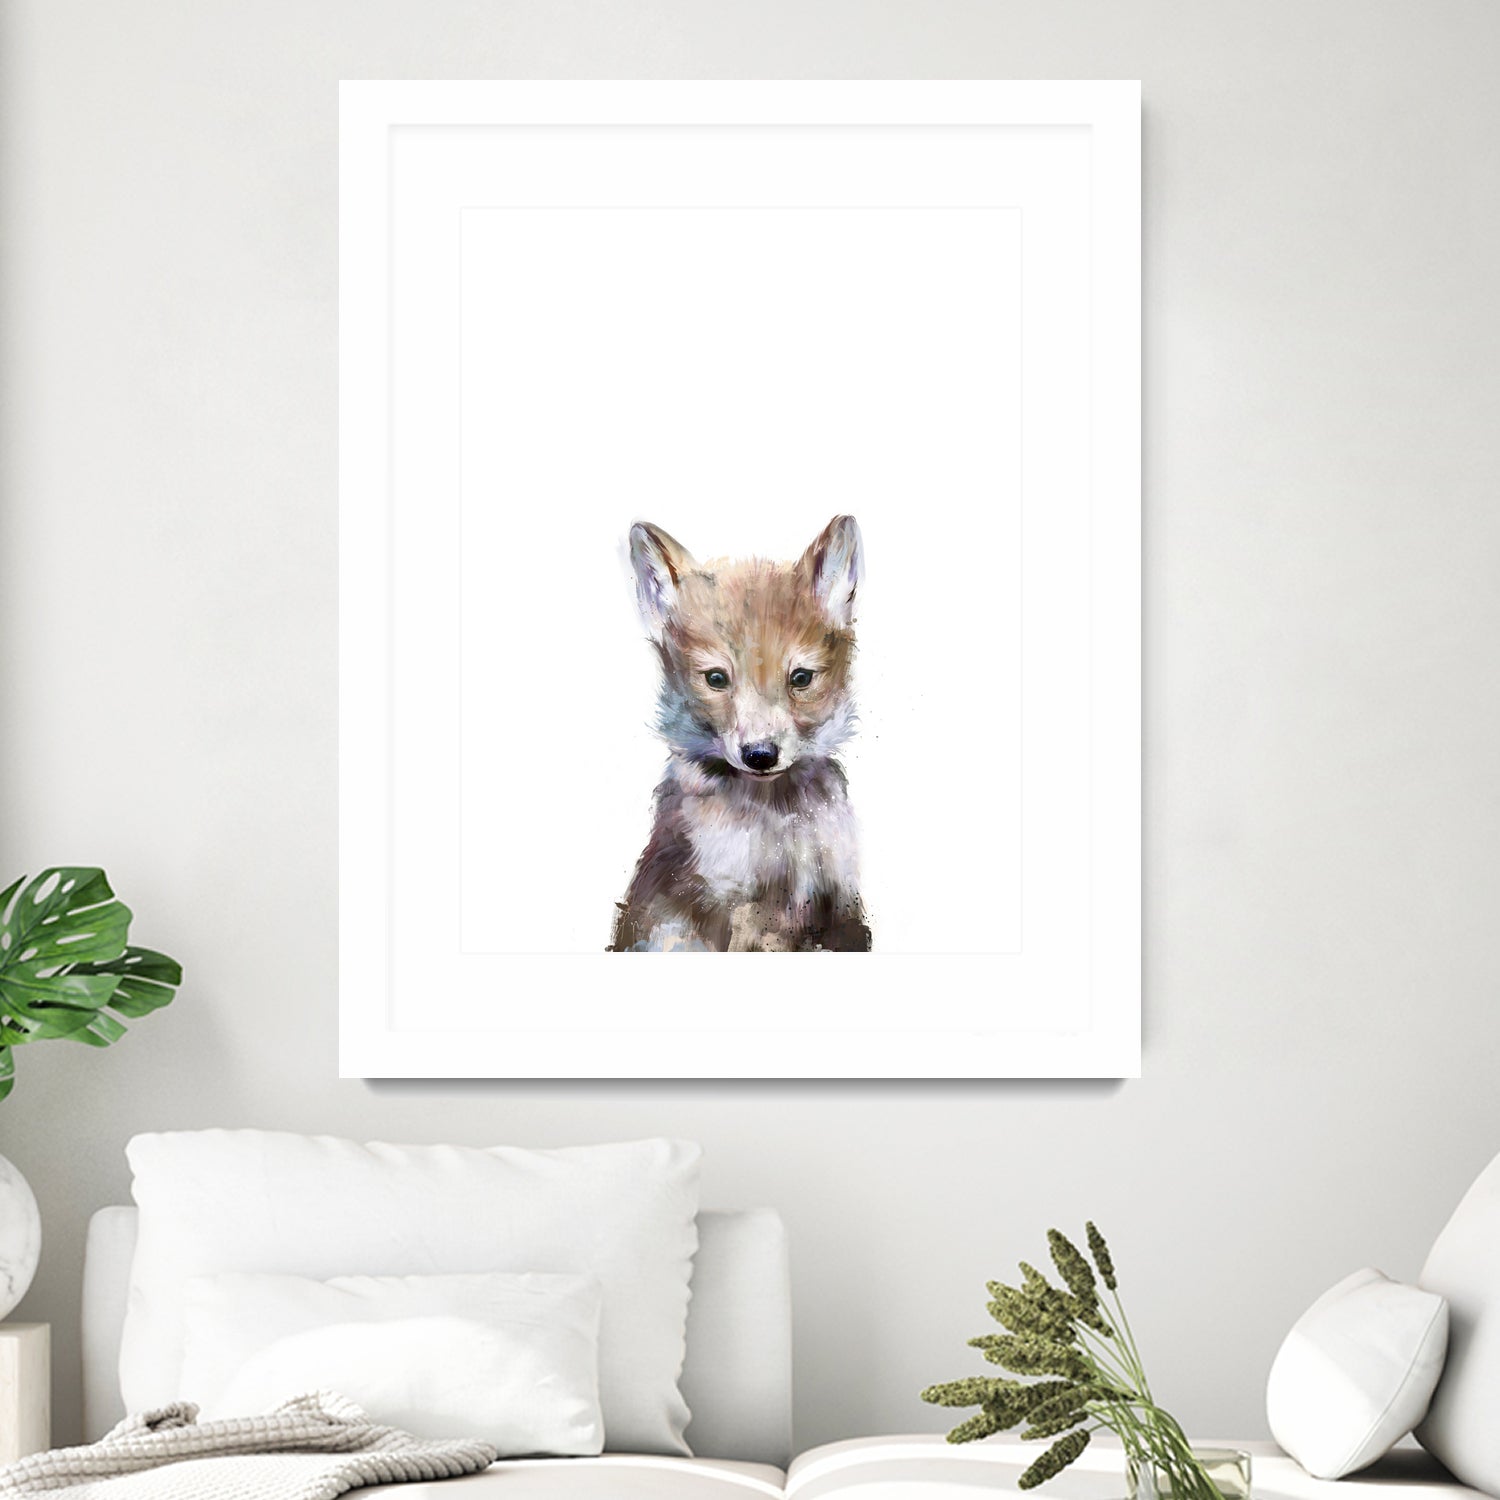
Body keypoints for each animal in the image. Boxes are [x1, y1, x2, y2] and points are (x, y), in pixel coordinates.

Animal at [609, 516, 872, 953]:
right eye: (716, 678)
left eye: (801, 678)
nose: (760, 755)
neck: (778, 822)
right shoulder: (732, 905)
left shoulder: (839, 901)